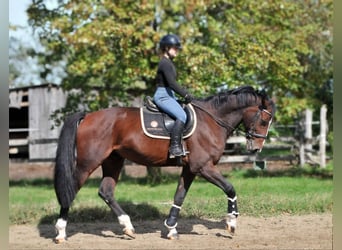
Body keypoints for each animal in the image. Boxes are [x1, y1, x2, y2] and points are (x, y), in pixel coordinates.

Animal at [54, 85, 276, 242]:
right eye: (264, 121)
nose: (256, 148)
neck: (212, 120)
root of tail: (88, 116)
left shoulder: (190, 169)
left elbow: (179, 196)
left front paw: (171, 228)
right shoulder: (203, 167)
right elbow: (230, 188)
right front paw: (231, 222)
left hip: (113, 161)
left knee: (106, 191)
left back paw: (128, 227)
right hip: (88, 163)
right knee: (70, 190)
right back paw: (61, 232)